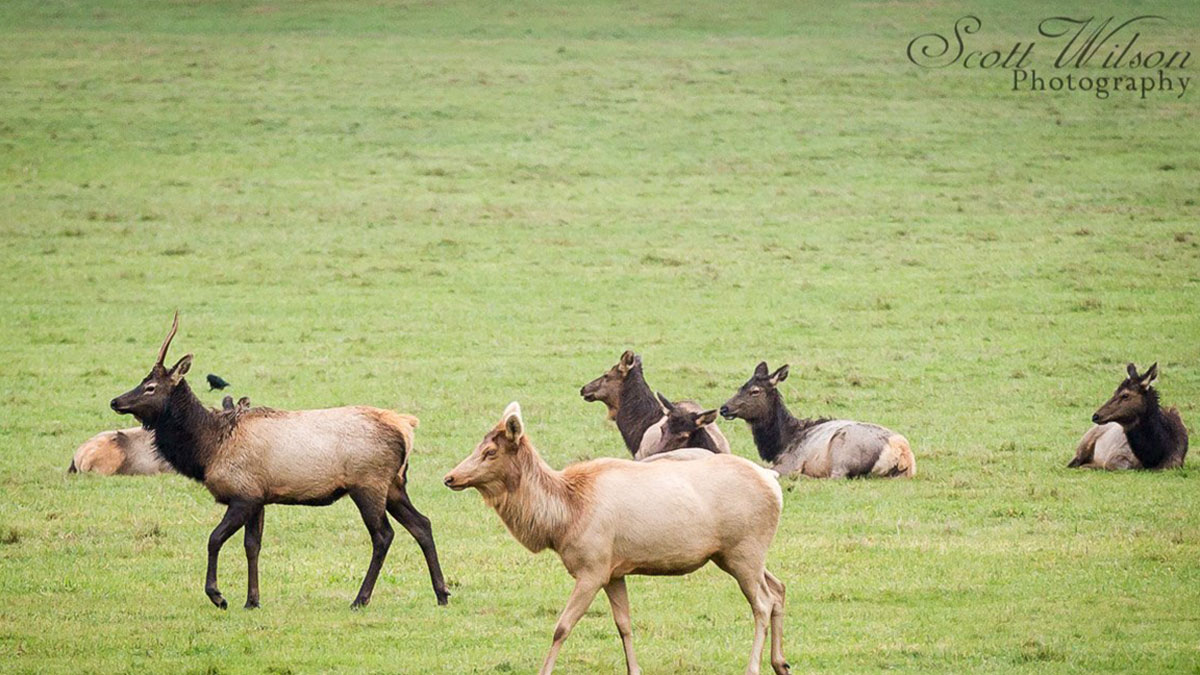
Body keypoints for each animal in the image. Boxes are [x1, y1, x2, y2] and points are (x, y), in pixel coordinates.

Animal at [109, 313, 450, 609]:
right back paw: (442, 593)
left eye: (150, 387)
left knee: (383, 535)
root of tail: (405, 427)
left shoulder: (243, 495)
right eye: (142, 381)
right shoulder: (259, 497)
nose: (116, 401)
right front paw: (252, 600)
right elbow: (252, 546)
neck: (208, 449)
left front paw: (218, 595)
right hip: (394, 484)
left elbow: (214, 539)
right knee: (422, 524)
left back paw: (360, 599)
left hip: (368, 484)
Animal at [444, 402, 790, 675]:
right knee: (778, 587)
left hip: (744, 549)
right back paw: (781, 663)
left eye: (490, 452)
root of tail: (772, 481)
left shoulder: (592, 567)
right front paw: (634, 668)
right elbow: (623, 623)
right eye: (478, 446)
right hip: (735, 553)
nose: (450, 477)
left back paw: (753, 667)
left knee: (762, 602)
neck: (564, 518)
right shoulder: (615, 571)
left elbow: (561, 627)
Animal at [720, 362, 915, 479]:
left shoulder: (790, 462)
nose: (724, 408)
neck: (780, 445)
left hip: (843, 451)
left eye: (755, 391)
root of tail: (901, 452)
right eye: (740, 387)